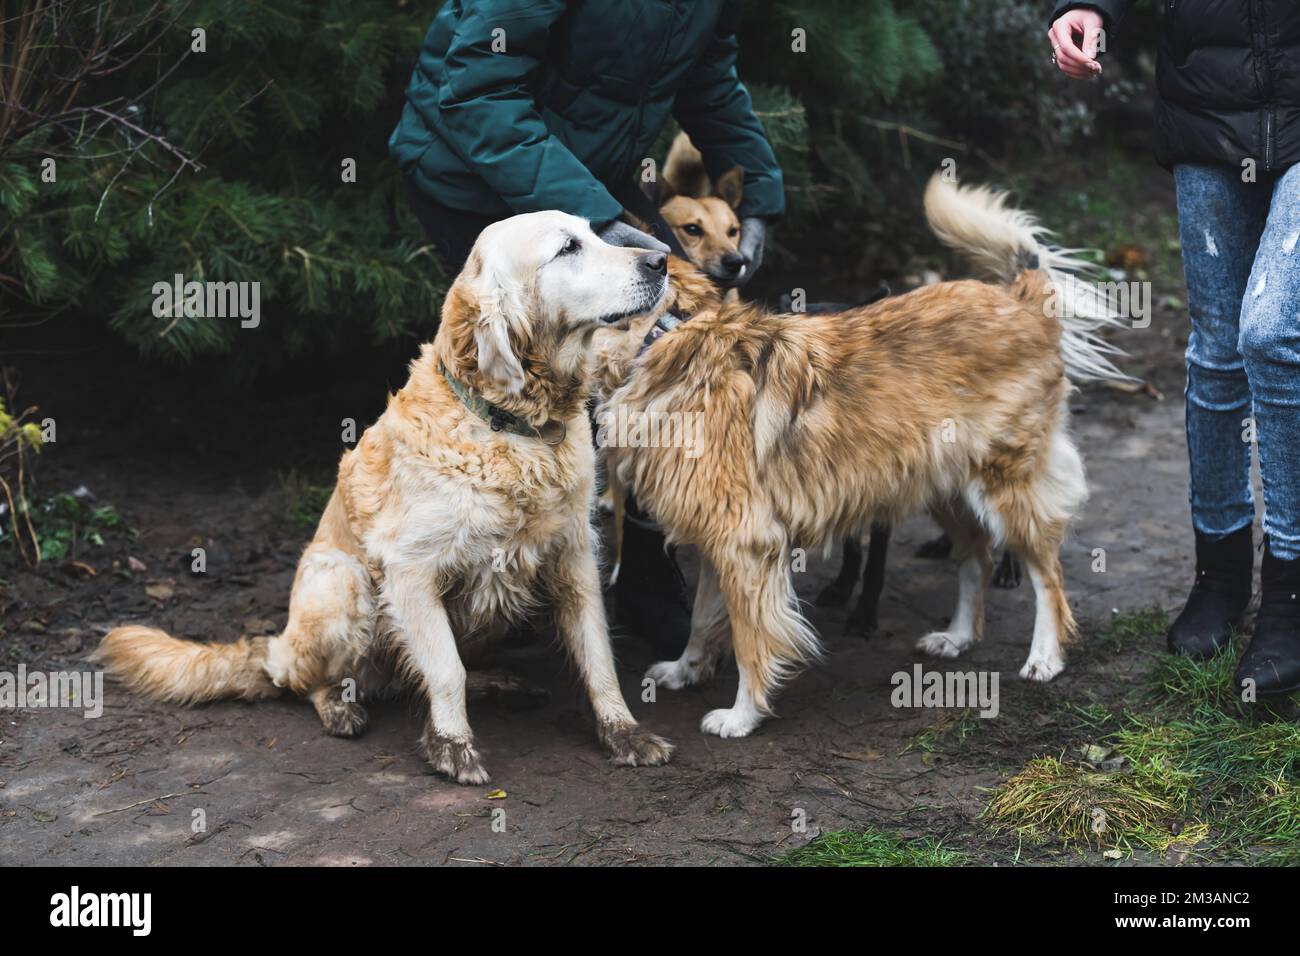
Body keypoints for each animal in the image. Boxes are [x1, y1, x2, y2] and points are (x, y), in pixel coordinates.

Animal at [96, 210, 676, 785]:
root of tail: (275, 646)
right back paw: (340, 706)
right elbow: (445, 669)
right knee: (305, 679)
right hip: (344, 582)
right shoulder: (409, 572)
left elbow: (598, 659)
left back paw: (497, 683)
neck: (515, 428)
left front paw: (624, 733)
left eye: (598, 234)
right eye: (567, 248)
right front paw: (452, 747)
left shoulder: (574, 559)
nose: (660, 260)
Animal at [598, 178, 1128, 738]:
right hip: (943, 488)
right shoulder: (718, 538)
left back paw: (1045, 656)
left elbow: (749, 639)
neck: (670, 339)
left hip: (1006, 485)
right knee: (976, 557)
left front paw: (744, 714)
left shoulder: (746, 542)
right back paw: (959, 635)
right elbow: (702, 620)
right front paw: (687, 668)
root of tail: (1018, 299)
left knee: (1047, 574)